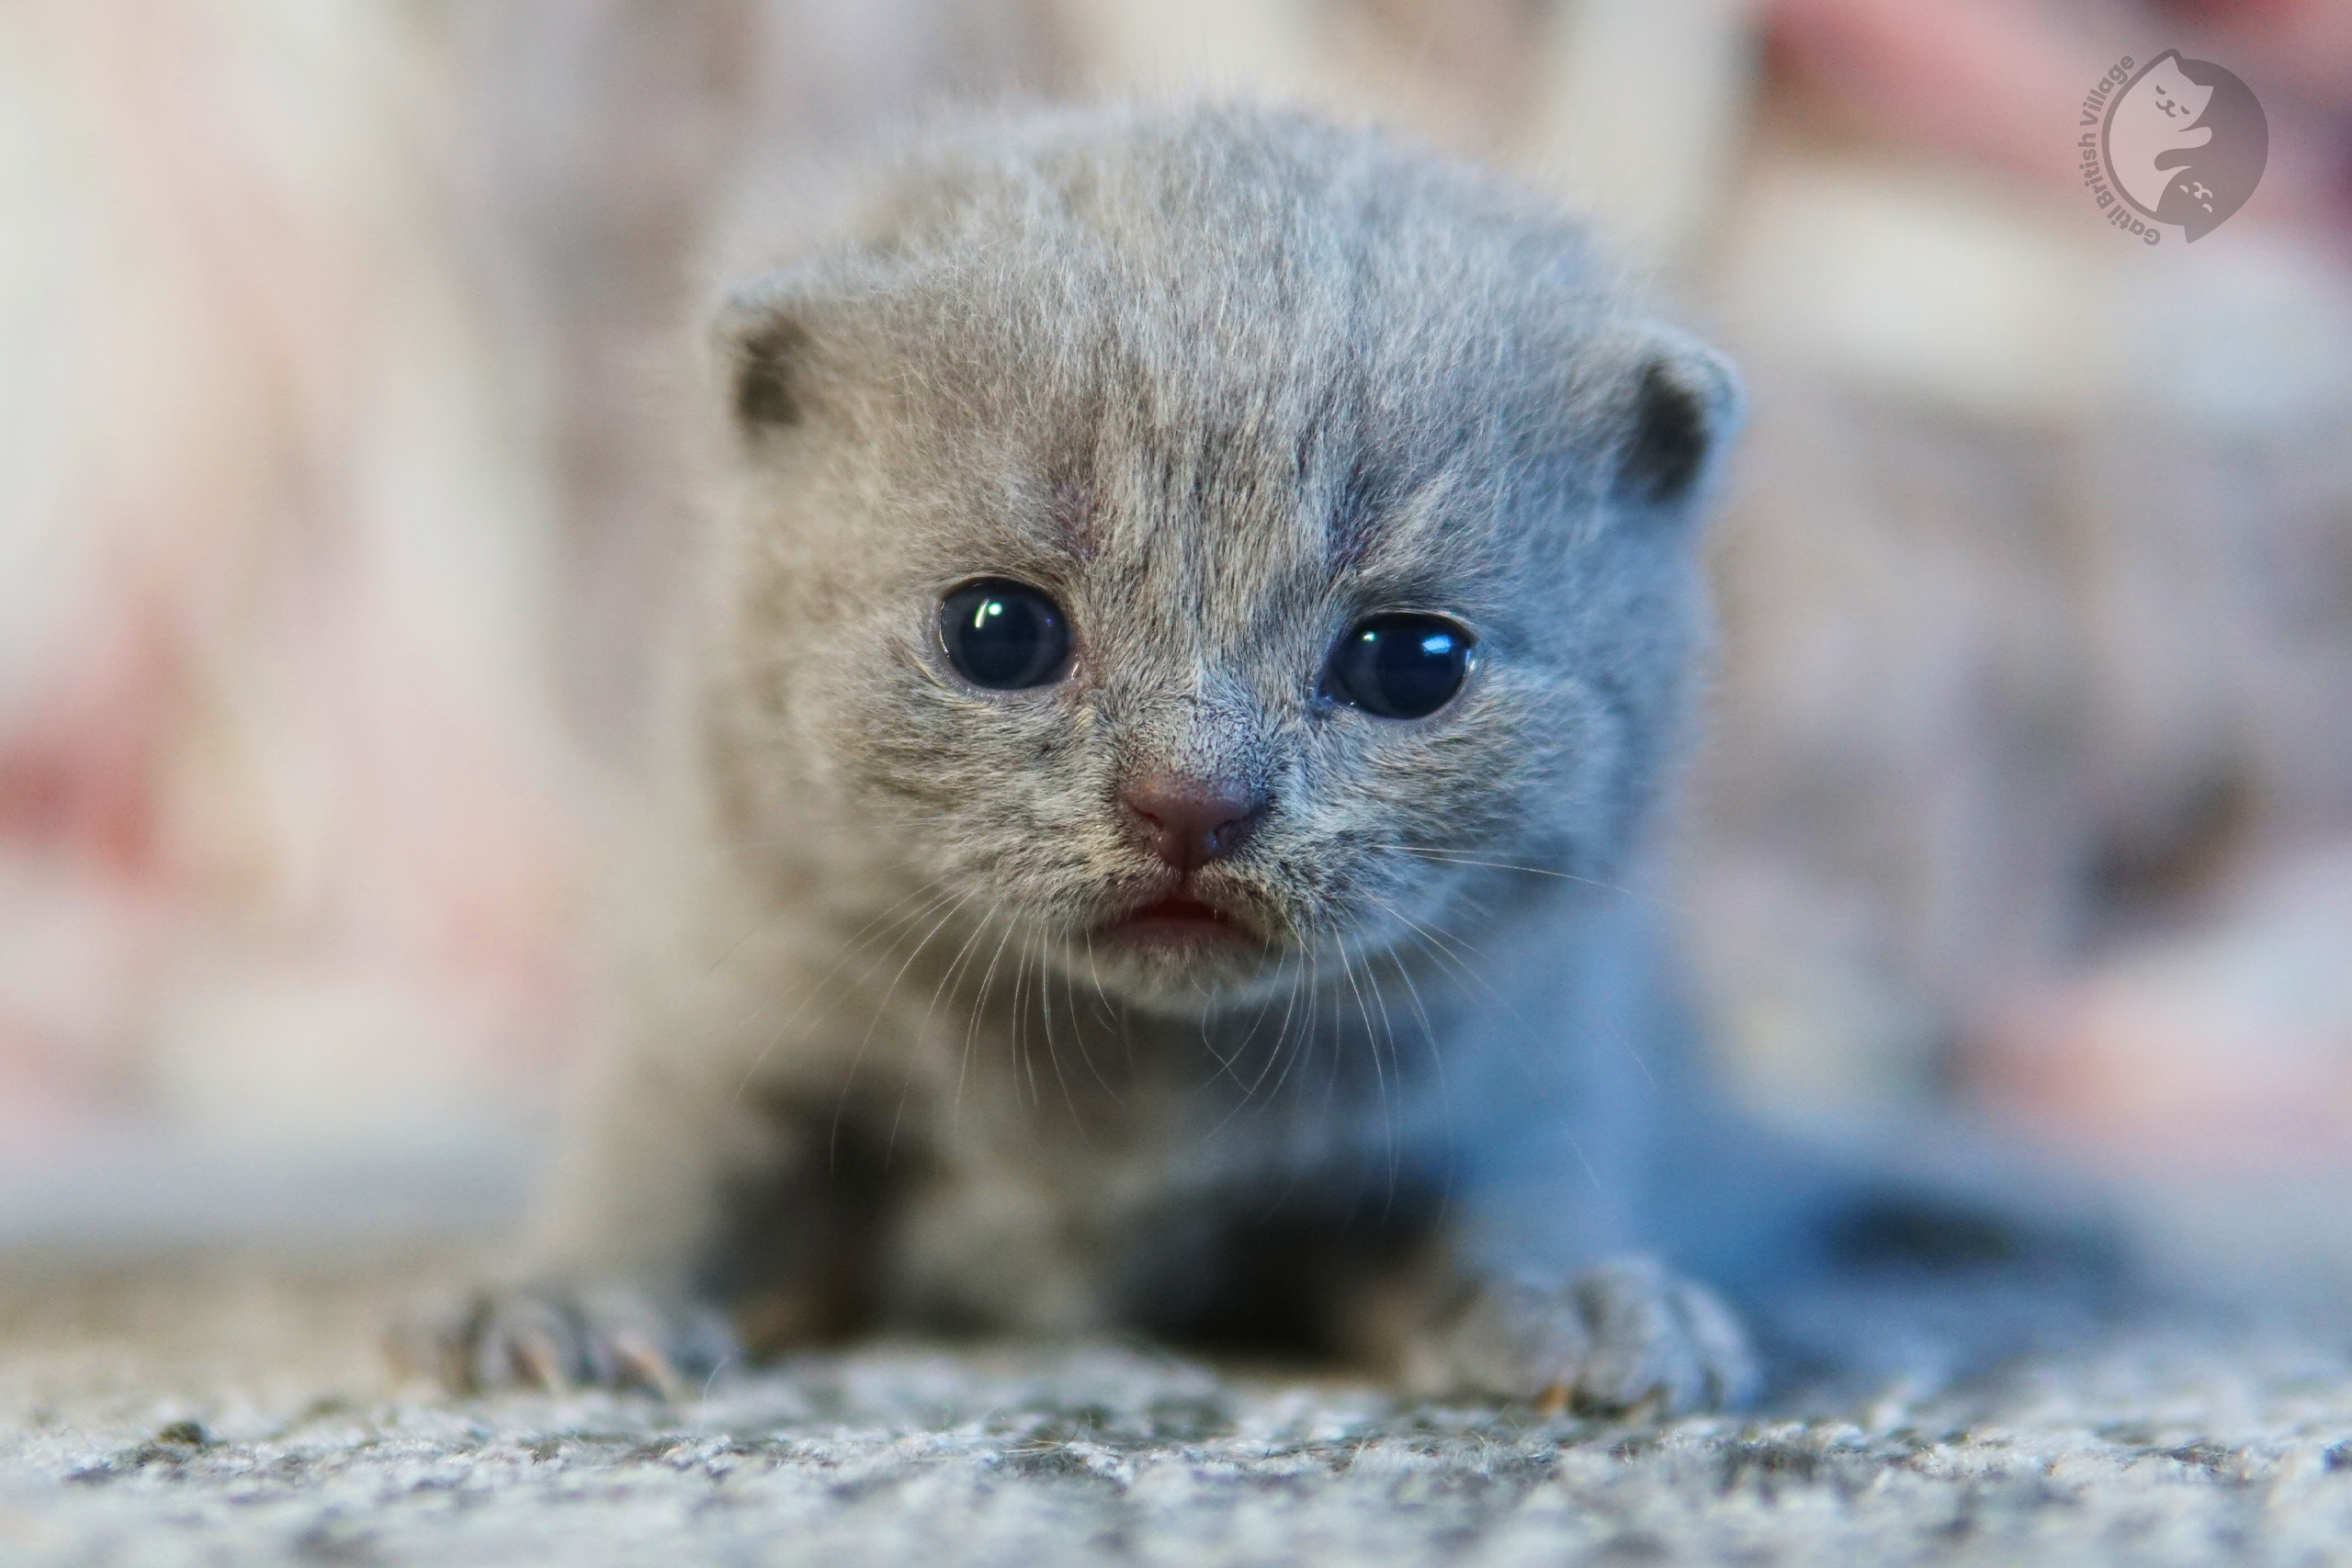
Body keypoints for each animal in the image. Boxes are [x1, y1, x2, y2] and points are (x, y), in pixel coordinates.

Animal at [404, 104, 2098, 1419]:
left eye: (1411, 661)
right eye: (999, 631)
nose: (1191, 799)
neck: (1118, 1093)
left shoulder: (1530, 1051)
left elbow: (1519, 1195)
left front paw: (1584, 1303)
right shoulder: (726, 982)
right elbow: (662, 1158)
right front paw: (564, 1297)